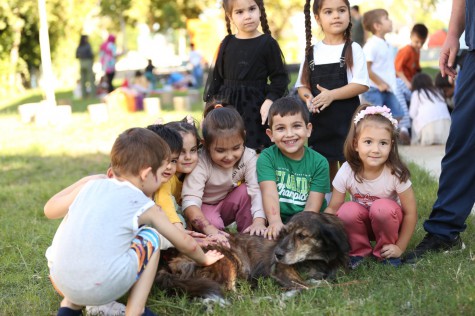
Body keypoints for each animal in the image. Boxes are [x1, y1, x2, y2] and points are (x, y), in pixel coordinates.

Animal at [156, 212, 350, 298]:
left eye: (302, 236)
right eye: (285, 233)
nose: (277, 254)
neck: (317, 260)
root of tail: (171, 261)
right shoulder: (281, 271)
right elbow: (316, 286)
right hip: (227, 259)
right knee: (228, 291)